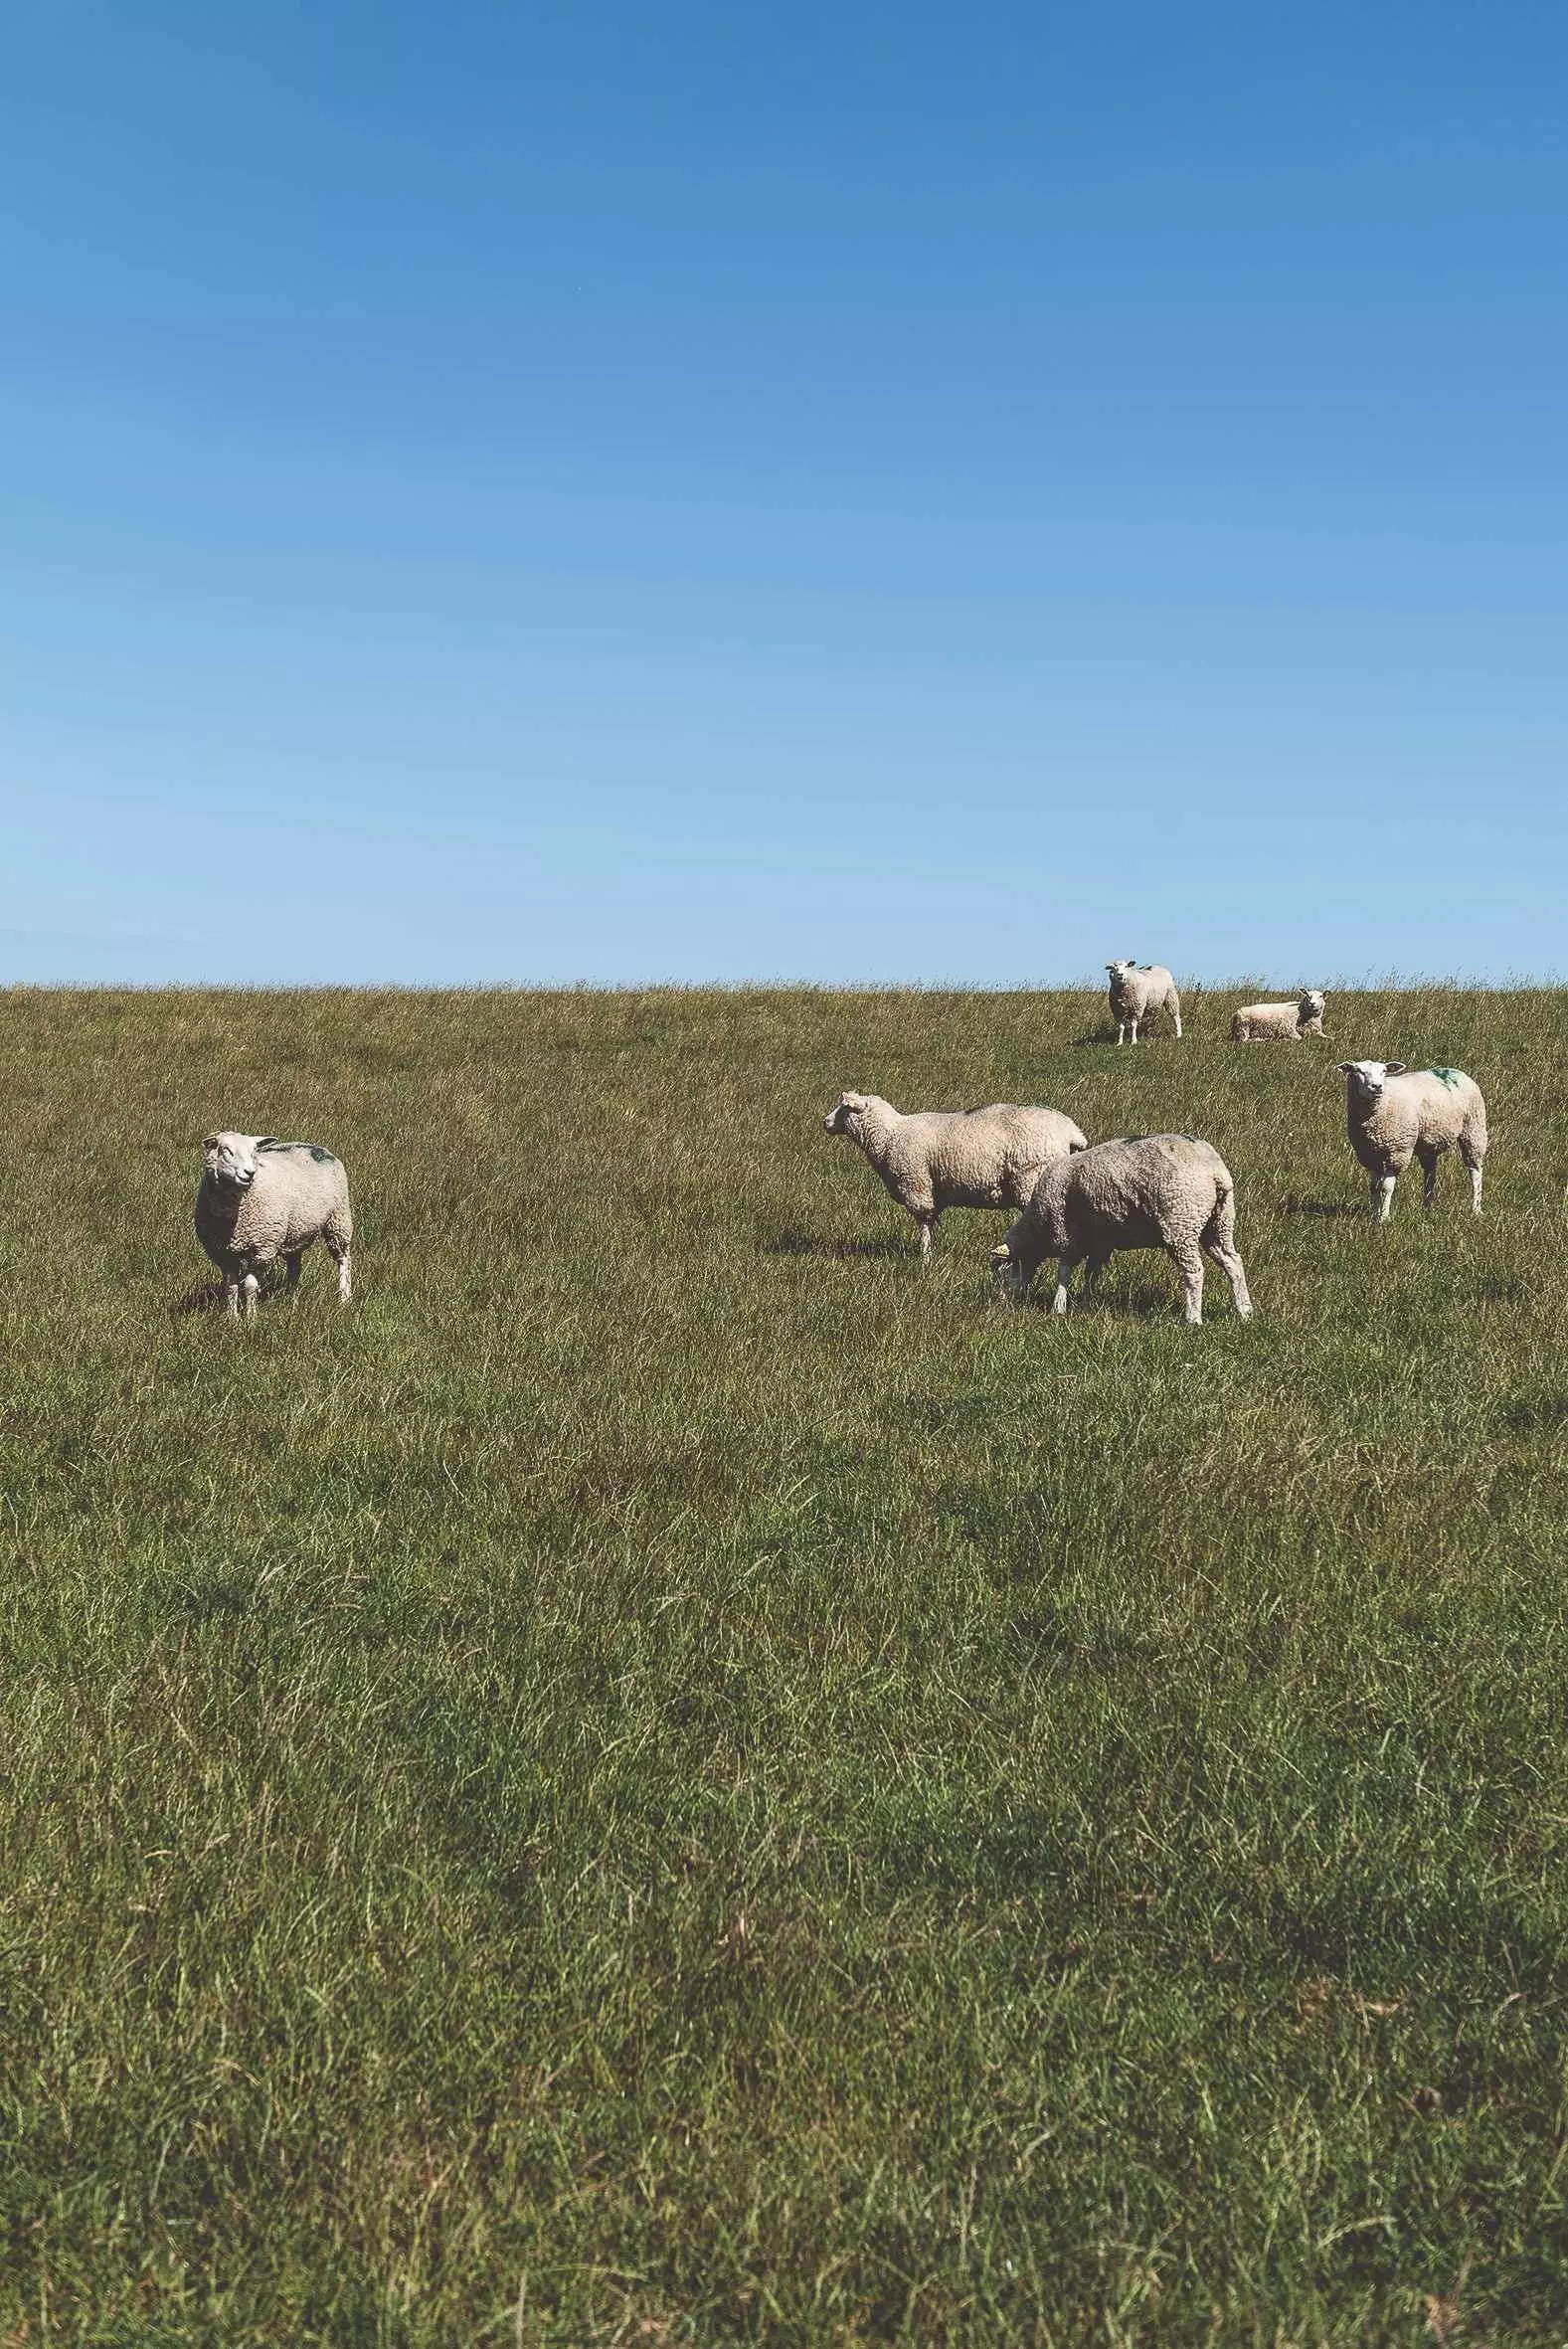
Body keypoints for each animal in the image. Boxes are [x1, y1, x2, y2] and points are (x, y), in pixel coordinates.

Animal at [196, 1132, 354, 1325]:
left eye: (254, 1151)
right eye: (226, 1150)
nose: (249, 1173)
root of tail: (317, 1147)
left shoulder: (262, 1250)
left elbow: (250, 1286)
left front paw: (251, 1318)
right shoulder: (222, 1254)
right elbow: (231, 1287)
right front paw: (232, 1318)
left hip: (338, 1219)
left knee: (343, 1259)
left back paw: (344, 1297)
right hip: (296, 1232)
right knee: (295, 1268)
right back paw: (291, 1298)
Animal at [821, 1089, 1089, 1259]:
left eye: (845, 1108)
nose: (825, 1122)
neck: (890, 1136)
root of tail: (1072, 1133)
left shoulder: (917, 1185)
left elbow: (924, 1226)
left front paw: (925, 1259)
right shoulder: (933, 1192)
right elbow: (932, 1224)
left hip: (1033, 1180)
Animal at [990, 1132, 1248, 1334]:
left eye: (1002, 1273)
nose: (1002, 1304)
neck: (1037, 1230)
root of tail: (1215, 1171)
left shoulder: (1066, 1235)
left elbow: (1064, 1273)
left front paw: (1059, 1308)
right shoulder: (1099, 1243)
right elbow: (1091, 1274)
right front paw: (1085, 1304)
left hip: (1181, 1222)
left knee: (1194, 1272)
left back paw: (1193, 1318)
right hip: (1219, 1222)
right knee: (1233, 1262)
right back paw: (1245, 1311)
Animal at [1342, 1056, 1492, 1221]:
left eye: (1384, 1071)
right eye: (1357, 1070)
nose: (1377, 1086)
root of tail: (1456, 1071)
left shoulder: (1398, 1152)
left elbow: (1386, 1188)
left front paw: (1384, 1218)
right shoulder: (1369, 1155)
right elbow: (1374, 1188)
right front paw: (1374, 1216)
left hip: (1473, 1129)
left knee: (1475, 1172)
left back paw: (1476, 1209)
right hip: (1430, 1143)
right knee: (1430, 1175)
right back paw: (1427, 1208)